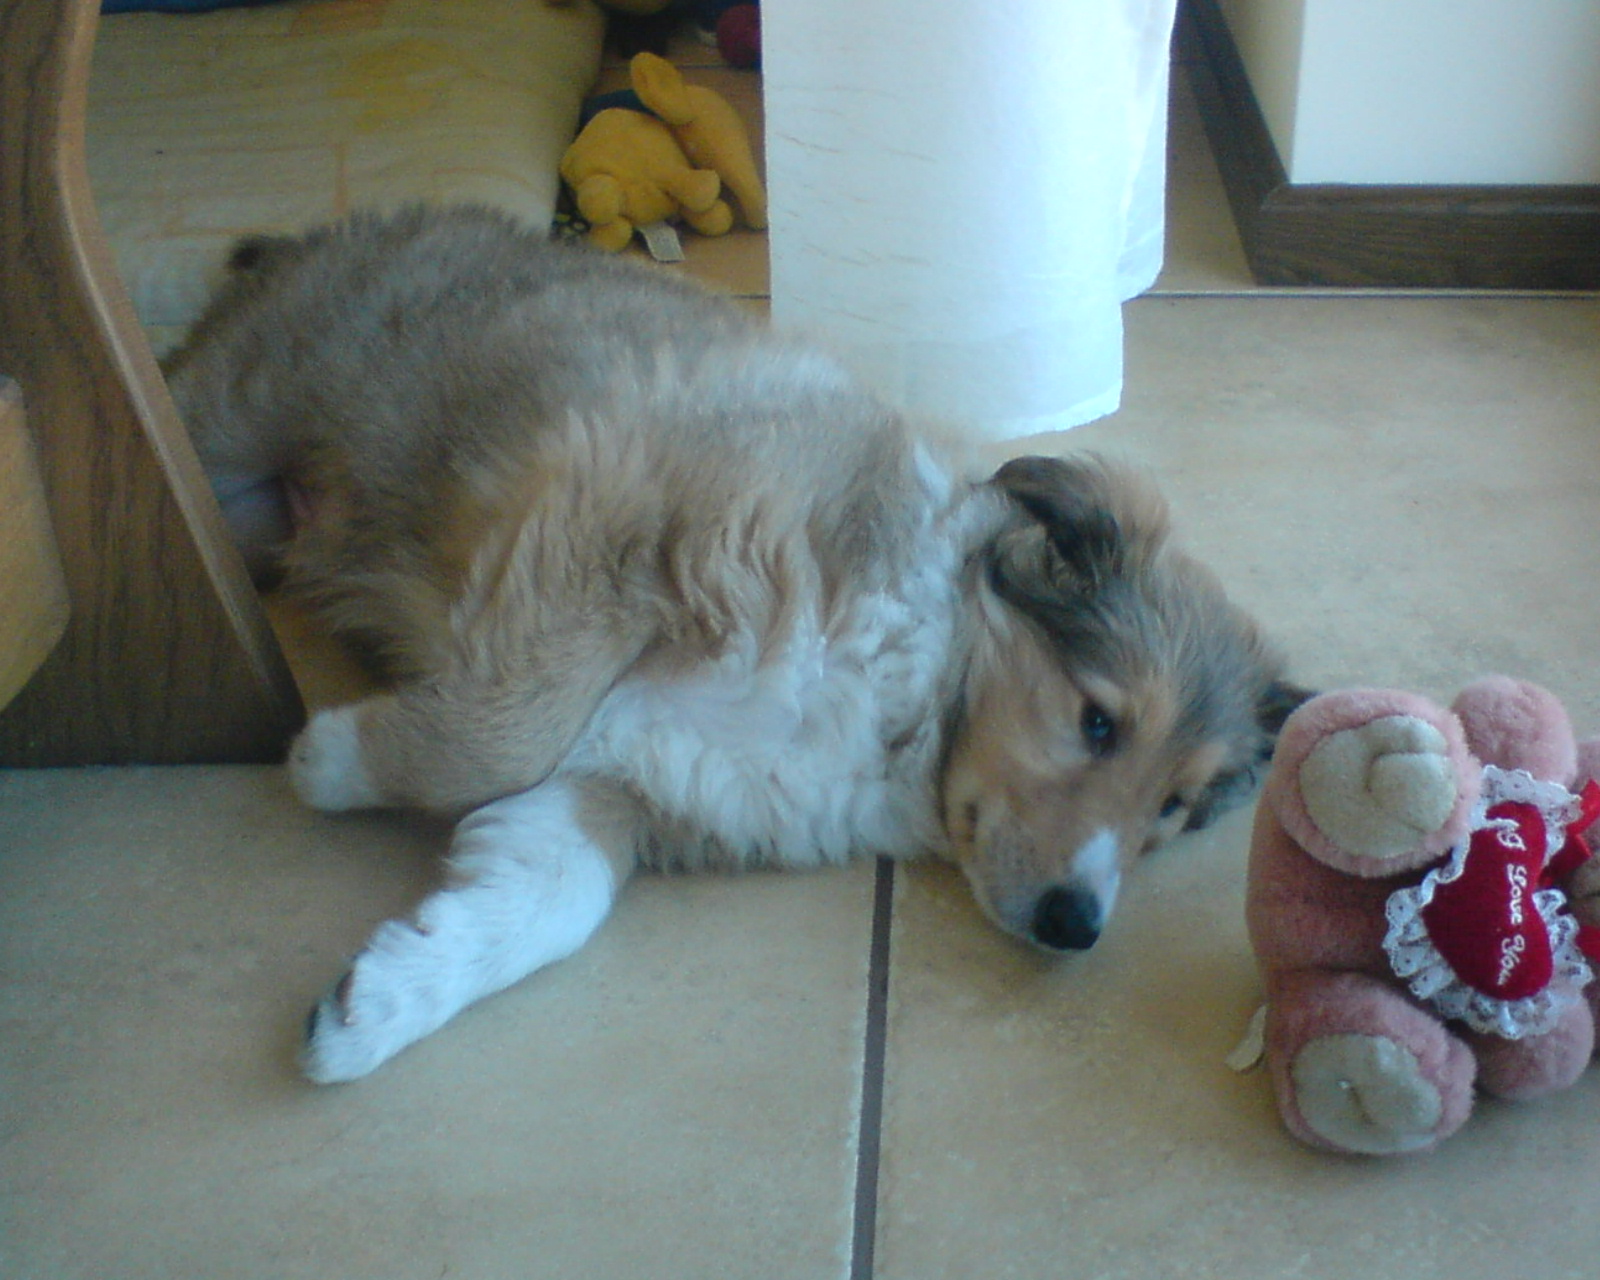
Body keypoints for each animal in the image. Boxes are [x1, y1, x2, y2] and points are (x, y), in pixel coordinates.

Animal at [165, 206, 1306, 1083]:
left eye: (1172, 809)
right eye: (1097, 720)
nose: (1077, 924)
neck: (909, 680)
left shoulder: (627, 784)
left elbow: (547, 897)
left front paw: (372, 1007)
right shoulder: (613, 510)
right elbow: (494, 737)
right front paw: (330, 757)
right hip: (227, 422)